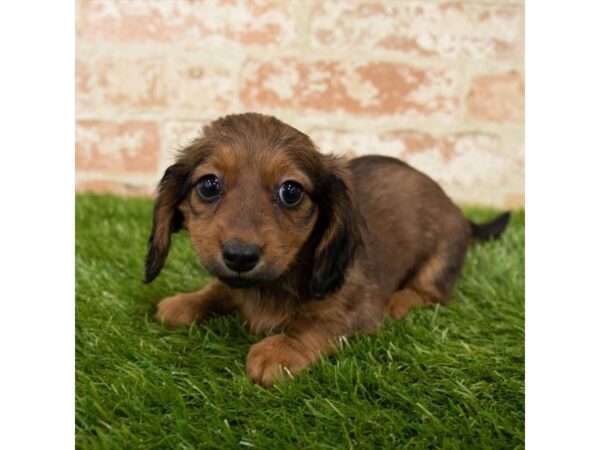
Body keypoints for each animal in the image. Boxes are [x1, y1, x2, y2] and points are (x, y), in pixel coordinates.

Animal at [145, 111, 510, 386]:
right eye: (208, 185)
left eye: (291, 191)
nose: (240, 256)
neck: (273, 286)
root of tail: (457, 210)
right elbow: (220, 288)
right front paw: (186, 302)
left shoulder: (358, 306)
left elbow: (317, 323)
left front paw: (280, 350)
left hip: (441, 258)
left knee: (432, 293)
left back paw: (399, 300)